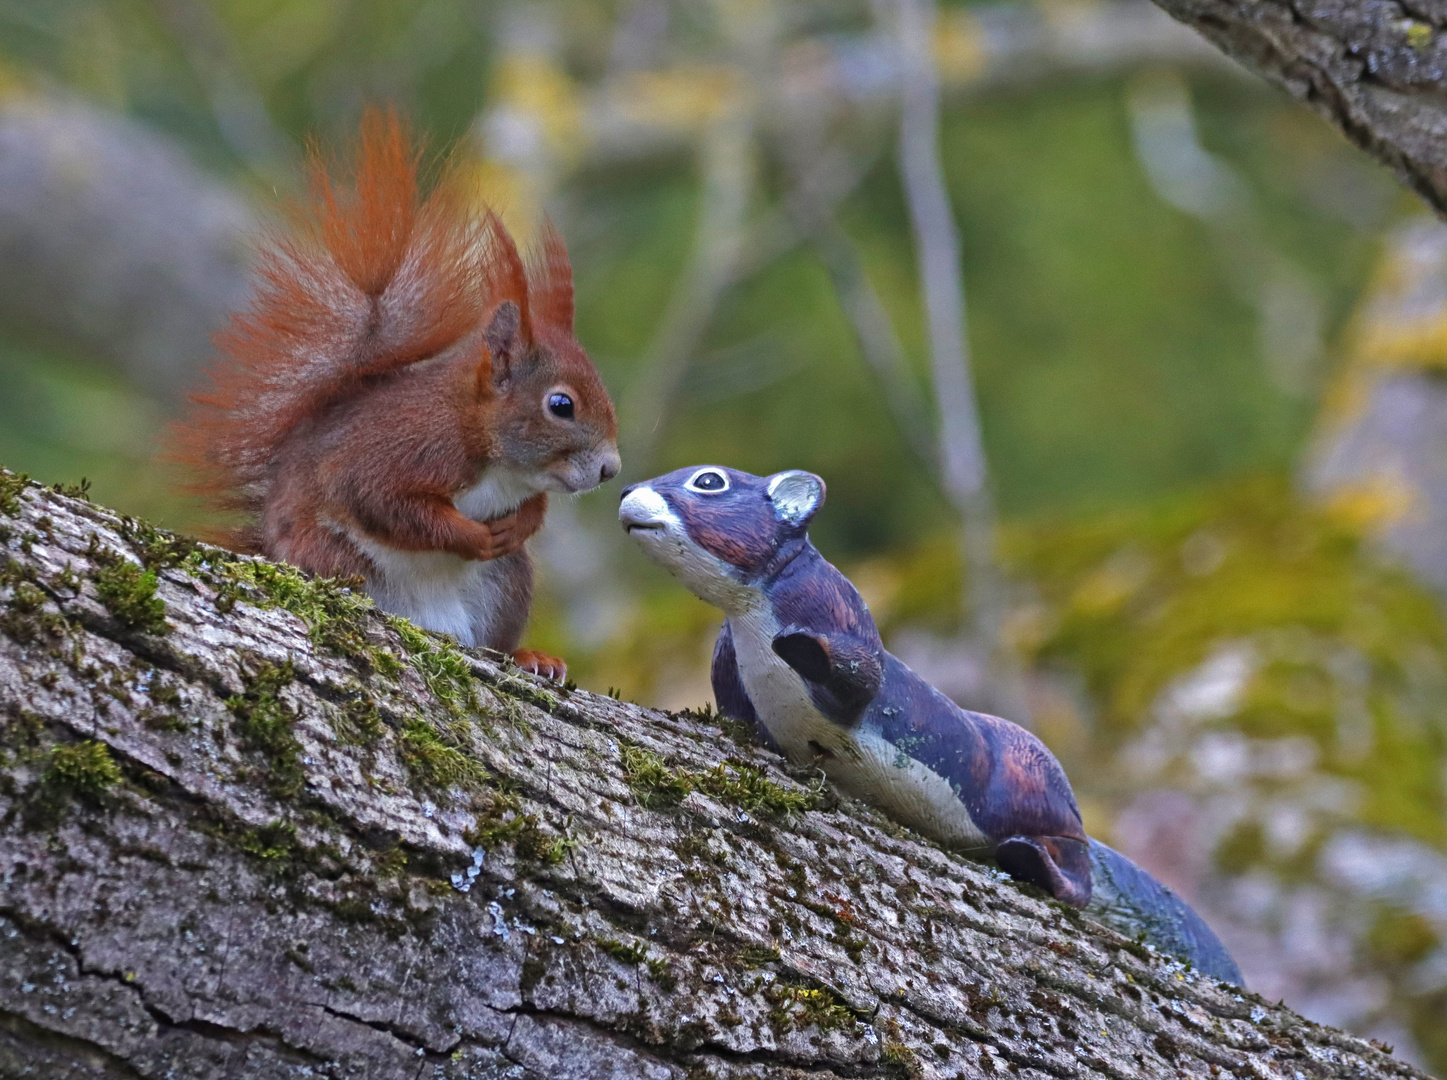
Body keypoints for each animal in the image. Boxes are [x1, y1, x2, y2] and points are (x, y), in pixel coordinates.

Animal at [170, 111, 622, 680]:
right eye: (561, 405)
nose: (610, 469)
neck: (489, 452)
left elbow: (534, 507)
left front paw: (520, 524)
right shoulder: (402, 451)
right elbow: (388, 504)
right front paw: (473, 536)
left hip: (506, 585)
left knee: (495, 640)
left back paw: (528, 657)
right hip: (332, 556)